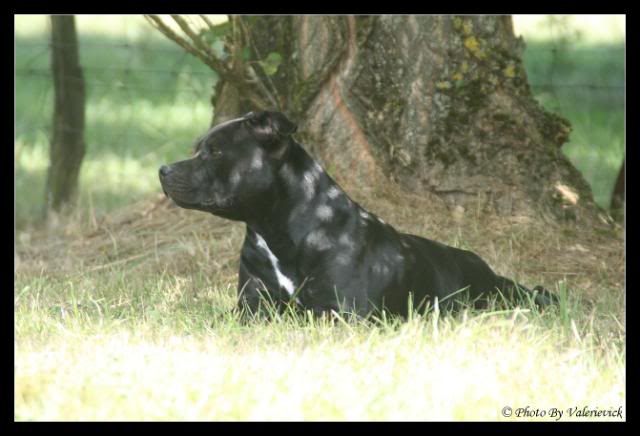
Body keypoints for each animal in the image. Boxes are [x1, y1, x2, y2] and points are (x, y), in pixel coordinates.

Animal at [159, 110, 556, 318]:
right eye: (199, 149)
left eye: (214, 152)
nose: (163, 170)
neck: (276, 229)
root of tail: (486, 268)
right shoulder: (251, 310)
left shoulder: (343, 313)